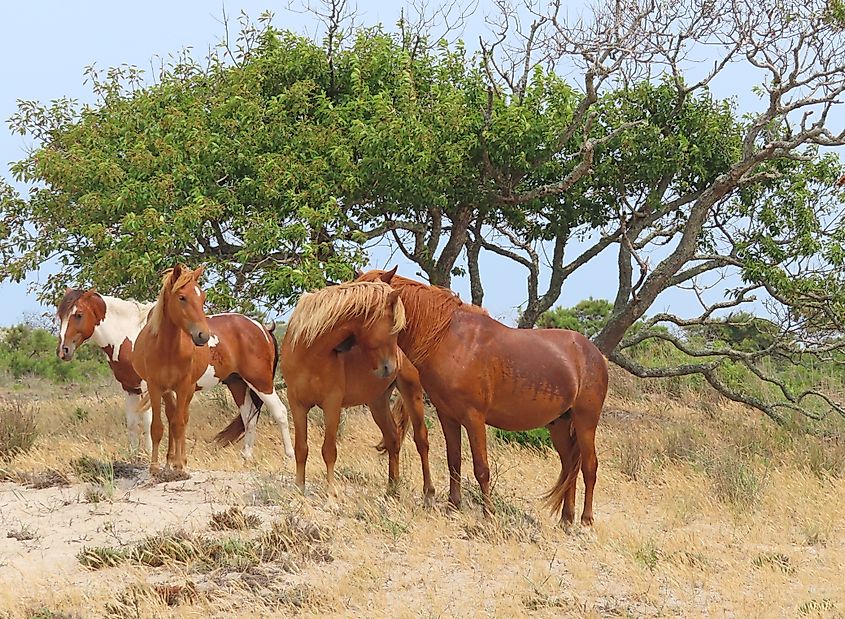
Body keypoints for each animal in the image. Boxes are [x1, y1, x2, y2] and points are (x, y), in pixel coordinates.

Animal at [57, 289, 294, 462]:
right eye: (61, 316)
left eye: (78, 315)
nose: (63, 350)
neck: (132, 337)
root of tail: (261, 328)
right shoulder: (130, 388)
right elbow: (132, 423)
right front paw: (133, 457)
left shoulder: (148, 388)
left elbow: (148, 422)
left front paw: (150, 457)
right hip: (237, 382)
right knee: (248, 416)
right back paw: (246, 457)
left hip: (260, 381)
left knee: (280, 412)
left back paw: (289, 457)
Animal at [131, 264, 293, 473]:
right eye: (182, 297)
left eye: (203, 297)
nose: (203, 336)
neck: (165, 348)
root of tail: (262, 328)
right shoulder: (159, 388)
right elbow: (161, 425)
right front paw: (161, 465)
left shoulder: (183, 387)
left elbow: (179, 422)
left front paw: (179, 464)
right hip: (237, 383)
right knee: (248, 416)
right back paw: (246, 458)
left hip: (260, 381)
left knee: (279, 412)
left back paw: (289, 458)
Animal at [278, 281, 435, 504]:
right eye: (392, 328)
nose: (390, 367)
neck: (309, 353)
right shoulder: (296, 404)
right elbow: (301, 448)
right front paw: (299, 489)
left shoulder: (332, 404)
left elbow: (329, 450)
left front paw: (331, 495)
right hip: (377, 402)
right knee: (392, 438)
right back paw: (392, 489)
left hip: (412, 393)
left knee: (421, 440)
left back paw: (428, 493)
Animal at [357, 268, 608, 527]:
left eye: (366, 303)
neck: (450, 340)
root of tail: (595, 354)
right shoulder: (448, 416)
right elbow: (454, 461)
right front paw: (452, 506)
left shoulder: (474, 418)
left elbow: (481, 468)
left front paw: (488, 514)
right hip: (559, 424)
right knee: (569, 466)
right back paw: (566, 520)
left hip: (585, 422)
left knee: (589, 467)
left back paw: (586, 520)